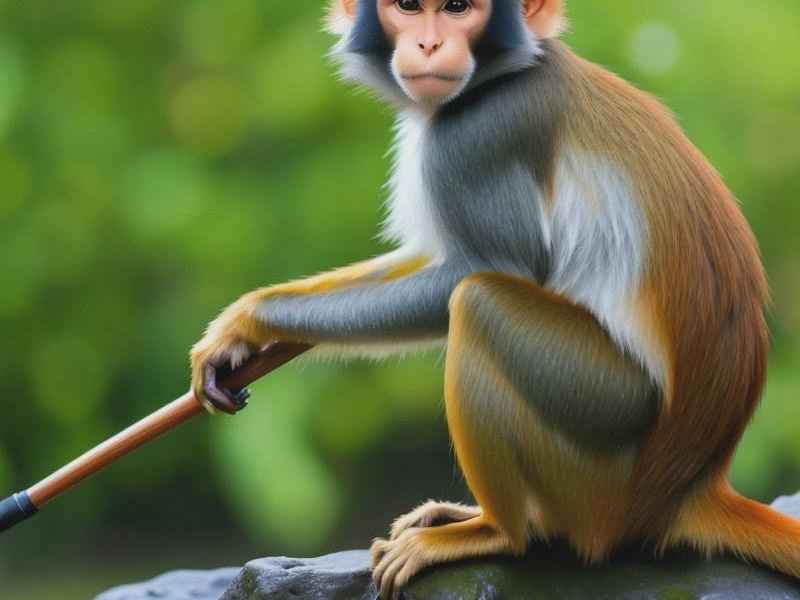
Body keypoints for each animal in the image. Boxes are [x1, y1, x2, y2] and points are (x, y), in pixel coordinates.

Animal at [190, 0, 800, 597]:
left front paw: (255, 319)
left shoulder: (475, 137)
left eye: (458, 9)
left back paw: (497, 532)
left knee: (480, 303)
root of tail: (686, 489)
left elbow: (475, 272)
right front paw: (238, 332)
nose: (429, 44)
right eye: (408, 8)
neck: (500, 73)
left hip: (604, 436)